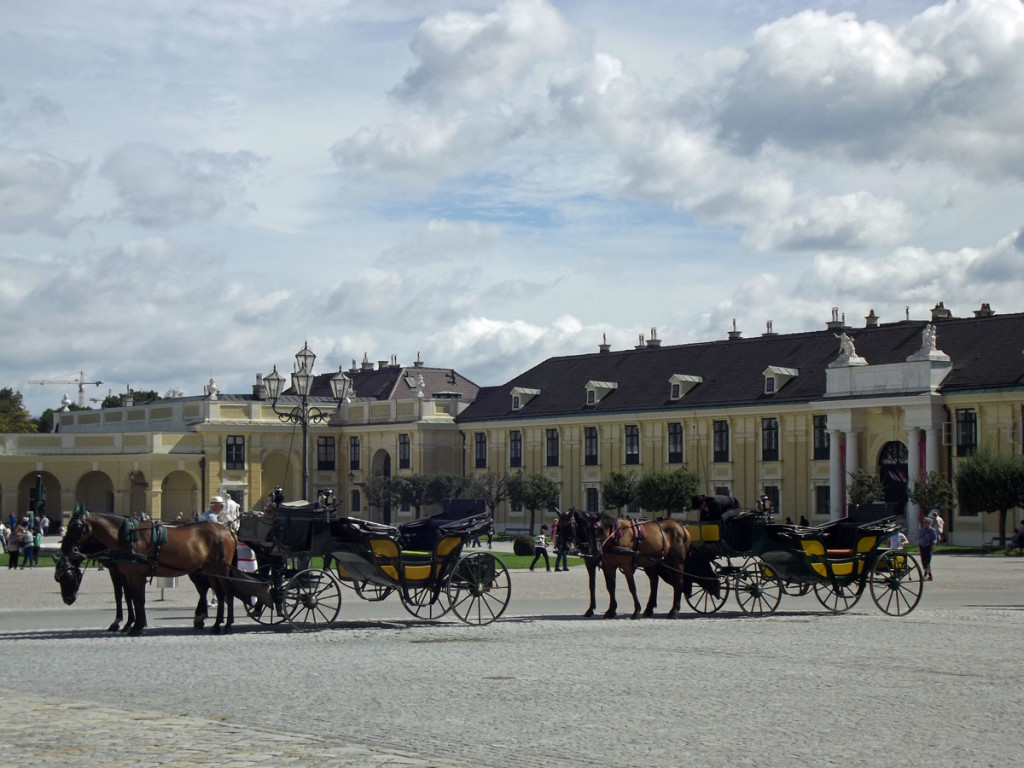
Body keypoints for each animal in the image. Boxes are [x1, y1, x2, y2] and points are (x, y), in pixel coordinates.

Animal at [58, 512, 237, 638]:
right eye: (58, 578)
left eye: (77, 527)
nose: (64, 548)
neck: (127, 537)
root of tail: (225, 529)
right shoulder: (127, 574)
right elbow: (131, 597)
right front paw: (133, 623)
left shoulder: (132, 575)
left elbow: (136, 598)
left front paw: (134, 625)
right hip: (210, 570)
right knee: (219, 594)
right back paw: (215, 624)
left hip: (220, 569)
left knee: (227, 593)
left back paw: (227, 625)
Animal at [557, 512, 692, 618]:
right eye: (559, 527)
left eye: (570, 525)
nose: (564, 547)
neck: (614, 536)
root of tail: (681, 527)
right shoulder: (604, 565)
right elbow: (606, 586)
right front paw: (608, 610)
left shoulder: (625, 565)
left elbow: (632, 587)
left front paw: (636, 610)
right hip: (653, 563)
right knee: (655, 583)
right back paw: (649, 609)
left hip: (676, 562)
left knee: (678, 582)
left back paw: (674, 610)